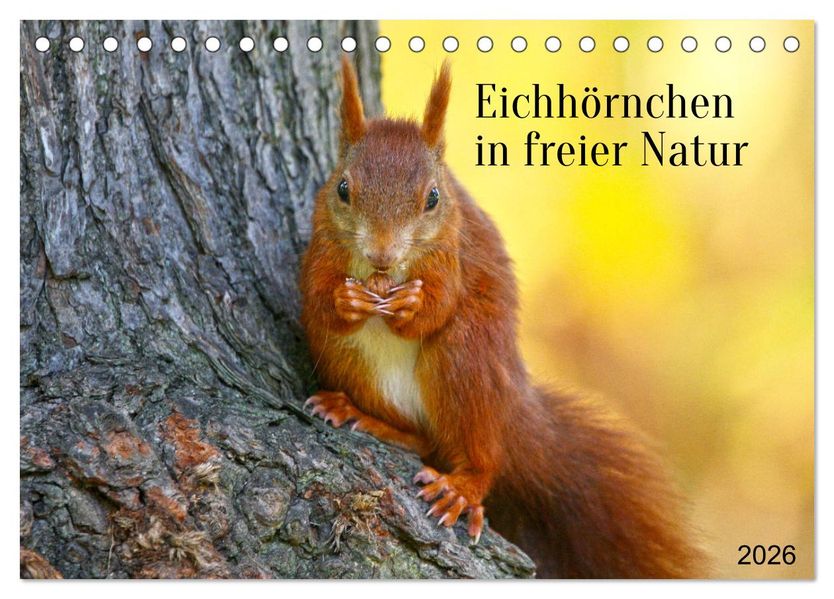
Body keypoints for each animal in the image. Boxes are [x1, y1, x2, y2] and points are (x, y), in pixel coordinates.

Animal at [299, 57, 707, 578]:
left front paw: (412, 307)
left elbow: (438, 306)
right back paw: (358, 414)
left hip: (465, 361)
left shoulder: (451, 254)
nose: (382, 255)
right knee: (421, 439)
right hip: (346, 359)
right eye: (343, 189)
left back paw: (462, 488)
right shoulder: (321, 244)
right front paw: (345, 301)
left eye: (433, 198)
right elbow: (314, 295)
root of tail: (510, 408)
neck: (383, 277)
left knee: (480, 455)